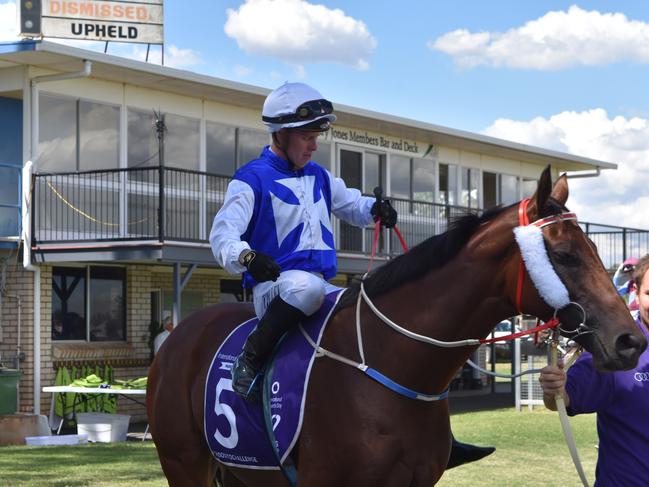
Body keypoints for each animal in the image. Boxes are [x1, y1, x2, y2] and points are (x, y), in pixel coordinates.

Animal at [147, 166, 644, 486]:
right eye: (564, 255)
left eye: (596, 252)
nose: (631, 340)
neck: (389, 363)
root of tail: (179, 336)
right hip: (183, 462)